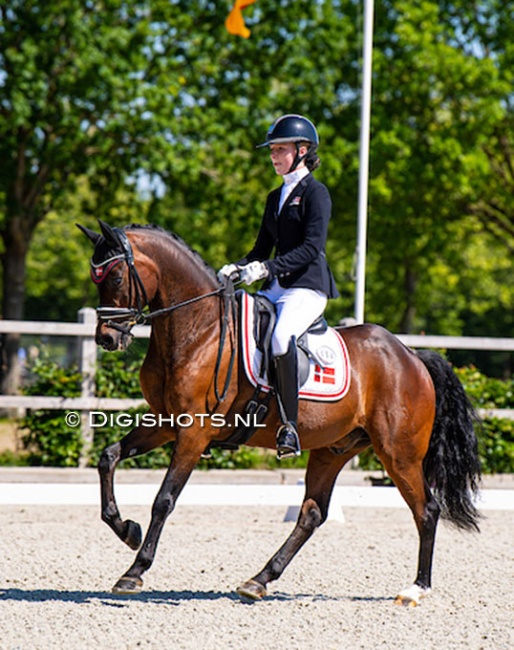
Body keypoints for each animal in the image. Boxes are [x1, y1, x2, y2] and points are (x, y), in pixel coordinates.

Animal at [77, 220, 480, 604]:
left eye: (115, 277)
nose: (107, 339)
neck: (199, 329)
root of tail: (411, 356)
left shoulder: (194, 432)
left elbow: (164, 500)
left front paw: (135, 570)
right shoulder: (164, 422)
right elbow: (108, 458)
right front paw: (127, 530)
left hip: (399, 454)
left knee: (426, 510)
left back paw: (416, 589)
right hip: (334, 449)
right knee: (312, 514)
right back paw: (258, 580)